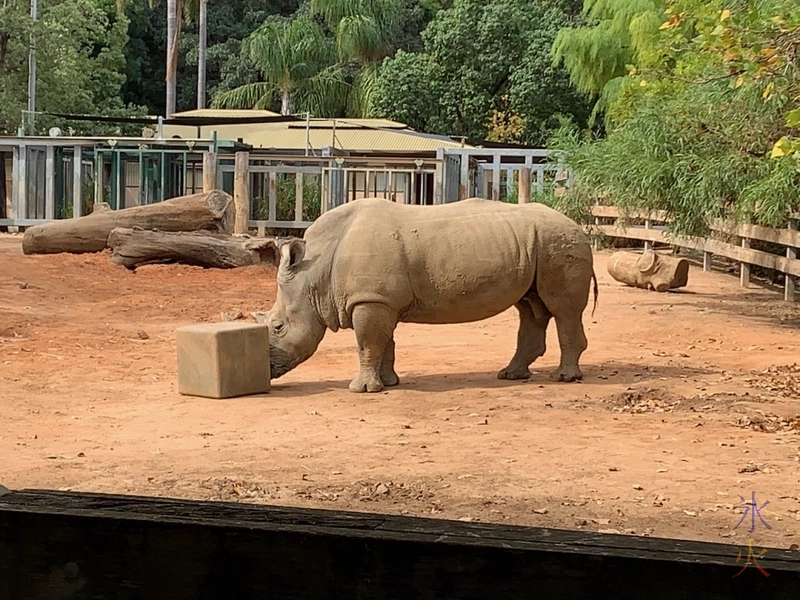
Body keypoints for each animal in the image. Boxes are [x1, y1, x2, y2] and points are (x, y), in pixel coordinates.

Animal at [266, 197, 597, 393]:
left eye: (277, 326)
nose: (268, 370)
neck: (315, 273)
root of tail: (578, 226)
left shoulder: (371, 299)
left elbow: (367, 343)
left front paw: (362, 389)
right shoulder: (382, 300)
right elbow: (384, 342)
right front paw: (389, 383)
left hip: (559, 243)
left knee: (563, 310)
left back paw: (564, 378)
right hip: (537, 244)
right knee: (531, 307)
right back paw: (511, 375)